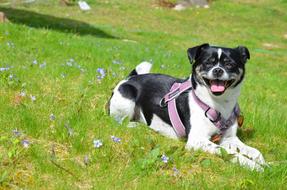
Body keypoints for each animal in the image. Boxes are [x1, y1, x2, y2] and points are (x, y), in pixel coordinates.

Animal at [108, 43, 268, 171]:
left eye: (229, 64)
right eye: (208, 63)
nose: (218, 70)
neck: (218, 104)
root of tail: (129, 78)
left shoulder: (230, 138)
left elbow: (255, 152)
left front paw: (265, 164)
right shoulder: (197, 140)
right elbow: (230, 153)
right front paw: (253, 166)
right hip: (127, 97)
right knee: (118, 121)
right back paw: (135, 125)